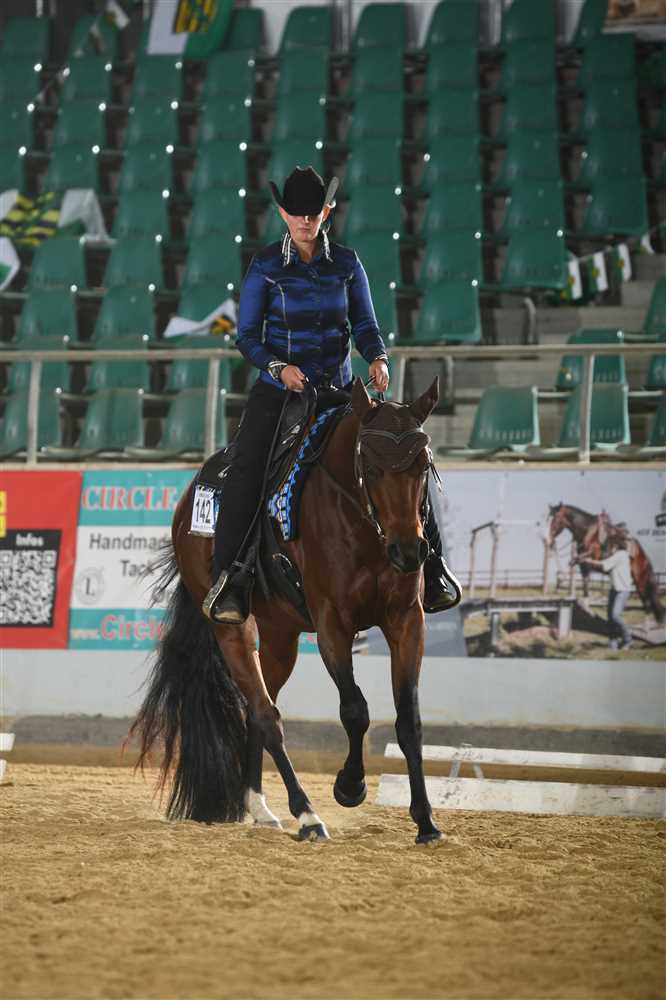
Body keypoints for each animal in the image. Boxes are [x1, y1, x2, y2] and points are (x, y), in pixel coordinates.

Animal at [130, 378, 447, 844]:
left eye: (423, 466)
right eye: (370, 467)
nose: (409, 552)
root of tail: (189, 502)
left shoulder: (407, 621)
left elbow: (409, 720)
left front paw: (426, 821)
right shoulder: (333, 624)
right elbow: (355, 710)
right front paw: (349, 786)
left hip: (281, 635)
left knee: (256, 710)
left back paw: (259, 807)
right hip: (232, 630)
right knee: (266, 715)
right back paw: (307, 814)